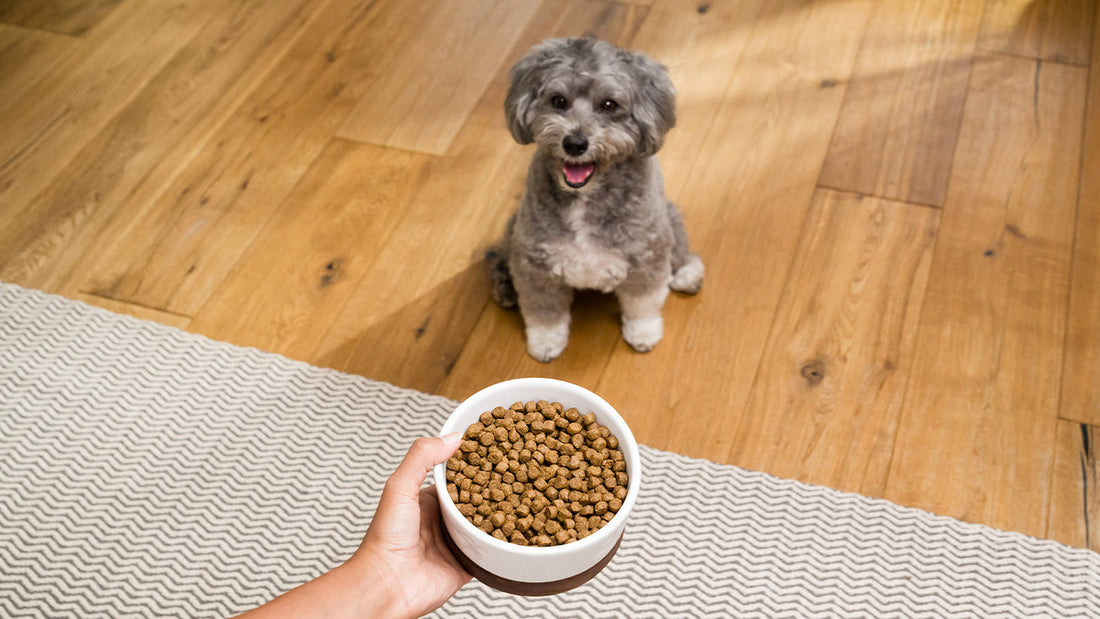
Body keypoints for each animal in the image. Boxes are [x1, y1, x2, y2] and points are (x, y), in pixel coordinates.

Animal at [490, 37, 704, 362]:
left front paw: (643, 334)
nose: (575, 143)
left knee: (680, 255)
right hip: (512, 229)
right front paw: (545, 343)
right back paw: (504, 287)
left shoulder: (645, 258)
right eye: (558, 101)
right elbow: (544, 312)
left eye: (609, 105)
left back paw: (687, 275)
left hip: (670, 221)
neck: (586, 197)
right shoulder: (536, 265)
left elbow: (642, 303)